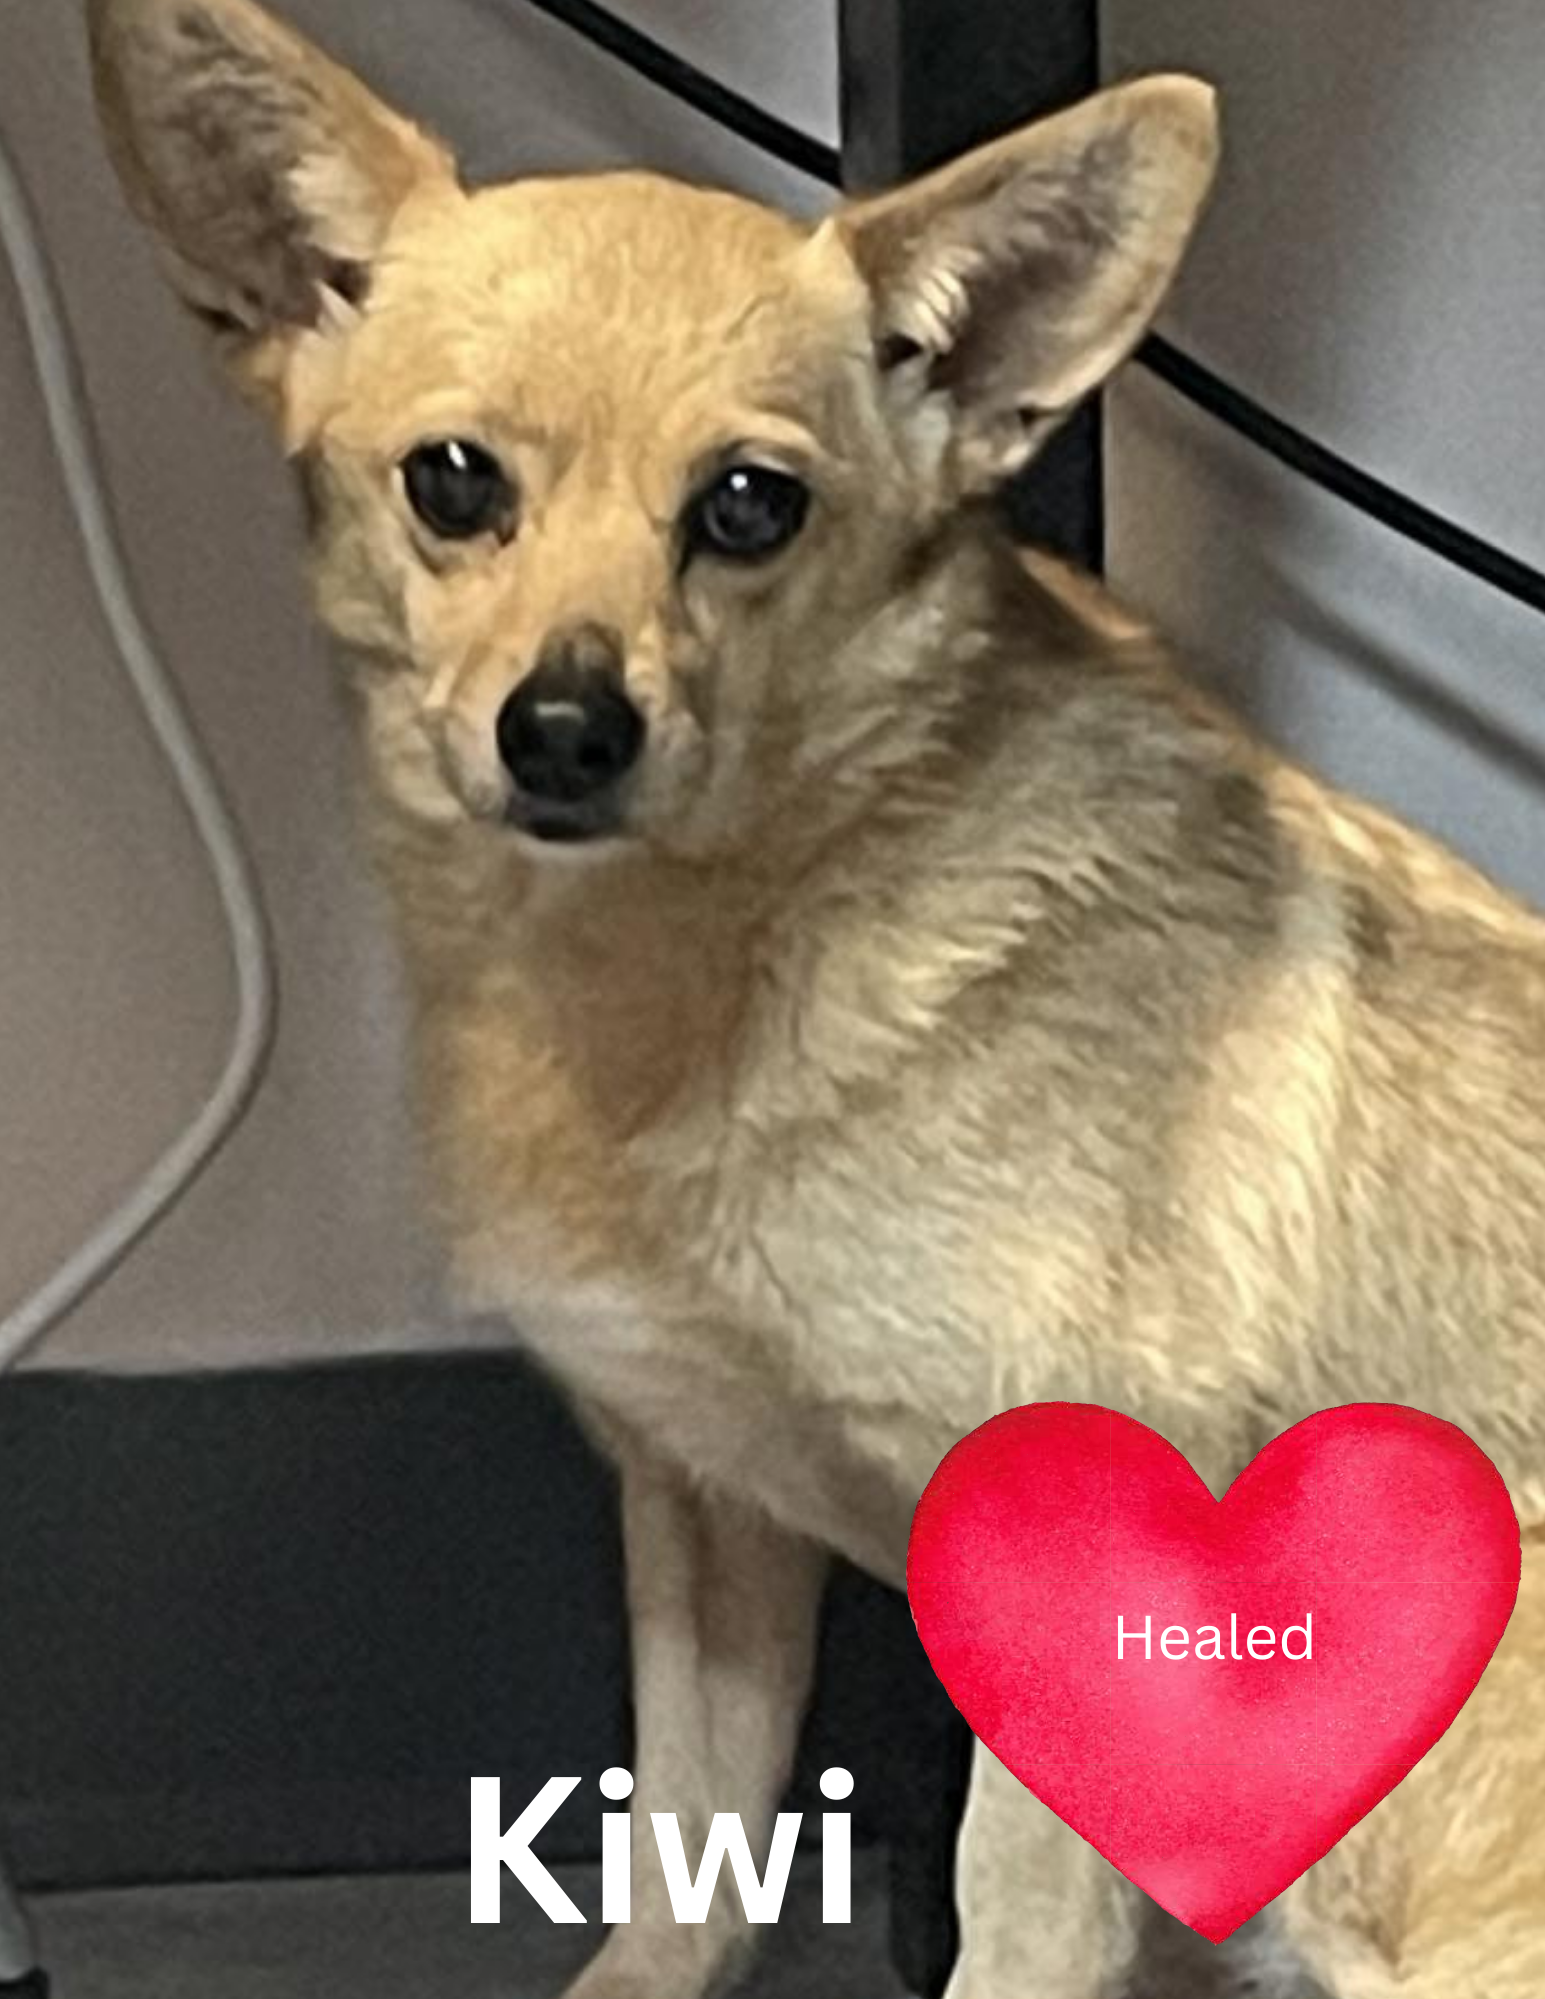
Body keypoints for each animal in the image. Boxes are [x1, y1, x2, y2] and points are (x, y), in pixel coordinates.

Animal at [89, 2, 1545, 1993]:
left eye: (749, 507)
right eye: (453, 482)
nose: (565, 729)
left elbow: (1004, 1937)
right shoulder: (702, 1513)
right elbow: (683, 1864)